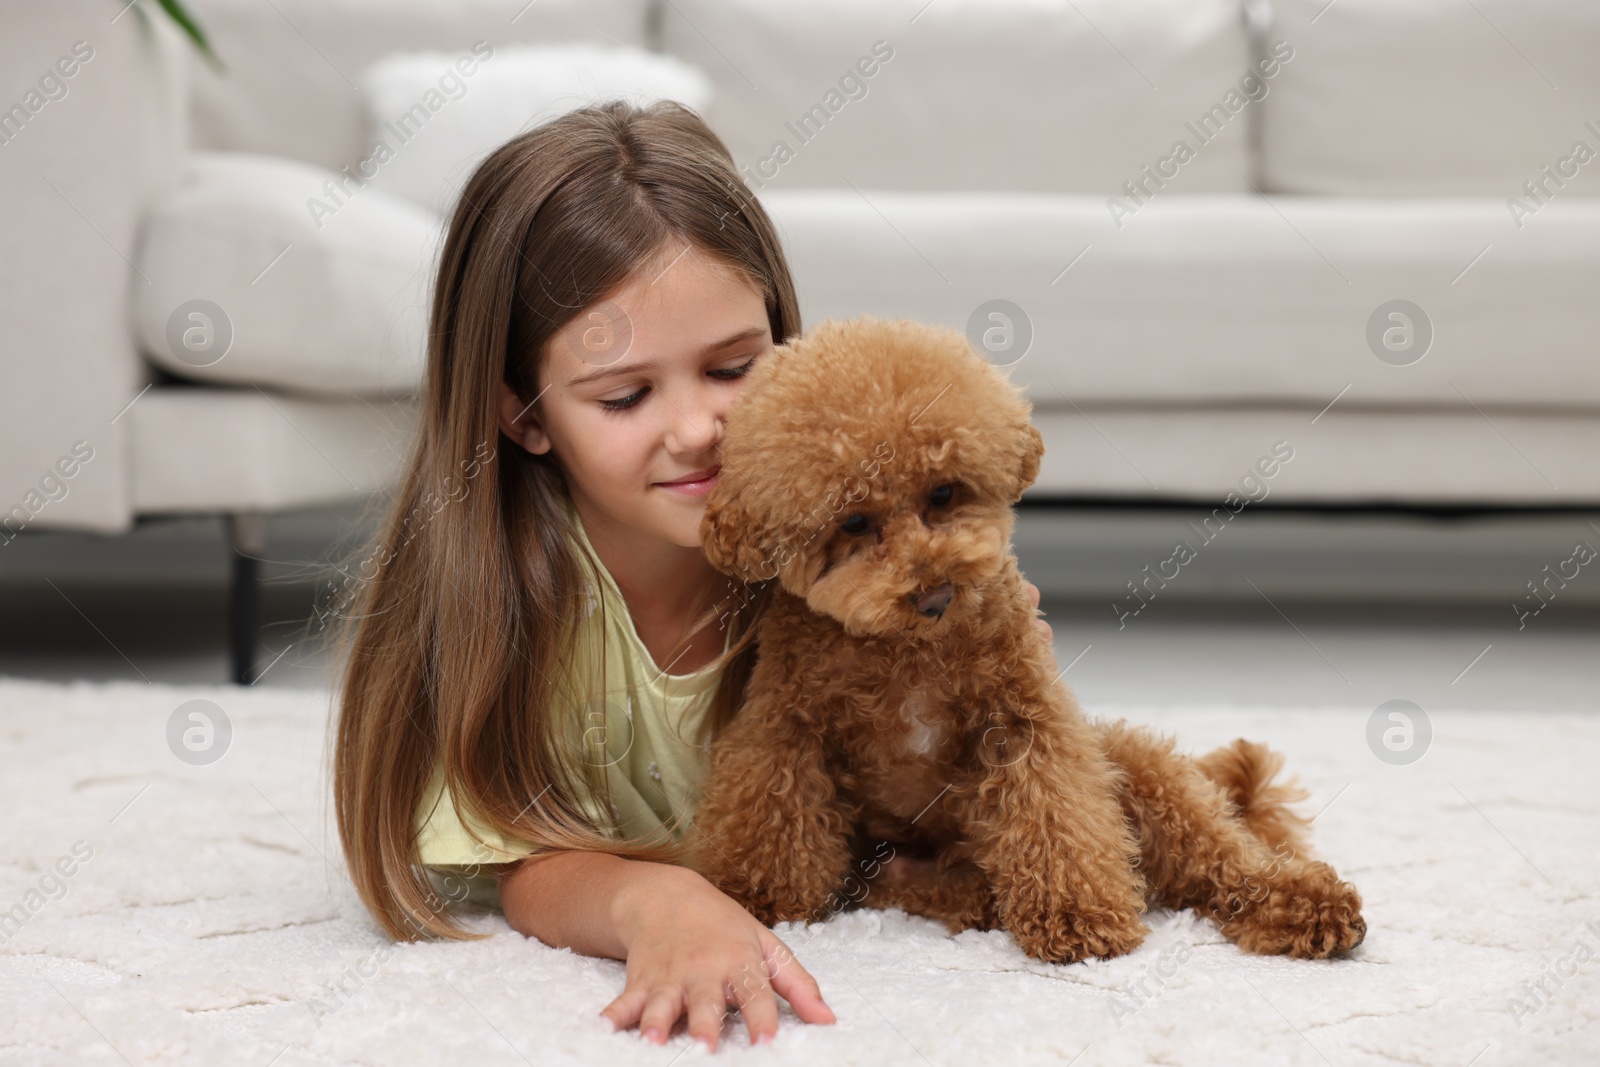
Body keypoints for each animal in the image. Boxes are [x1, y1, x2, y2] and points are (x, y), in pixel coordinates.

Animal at [688, 316, 1363, 966]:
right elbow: (773, 817)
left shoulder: (1026, 719)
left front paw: (1079, 917)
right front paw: (752, 899)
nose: (935, 594)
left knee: (1215, 850)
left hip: (1132, 765)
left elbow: (1055, 817)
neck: (907, 649)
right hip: (896, 872)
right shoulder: (786, 729)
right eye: (853, 522)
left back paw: (1302, 903)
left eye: (943, 492)